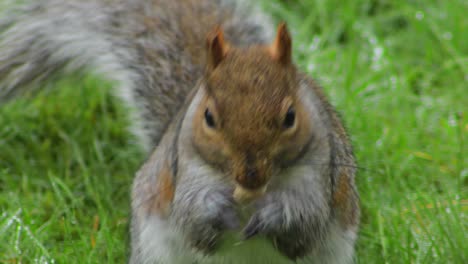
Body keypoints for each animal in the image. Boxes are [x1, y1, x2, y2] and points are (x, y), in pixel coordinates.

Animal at [0, 0, 360, 264]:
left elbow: (305, 222)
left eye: (290, 117)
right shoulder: (183, 169)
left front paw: (273, 215)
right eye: (209, 117)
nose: (250, 177)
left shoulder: (321, 173)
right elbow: (191, 216)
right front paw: (216, 208)